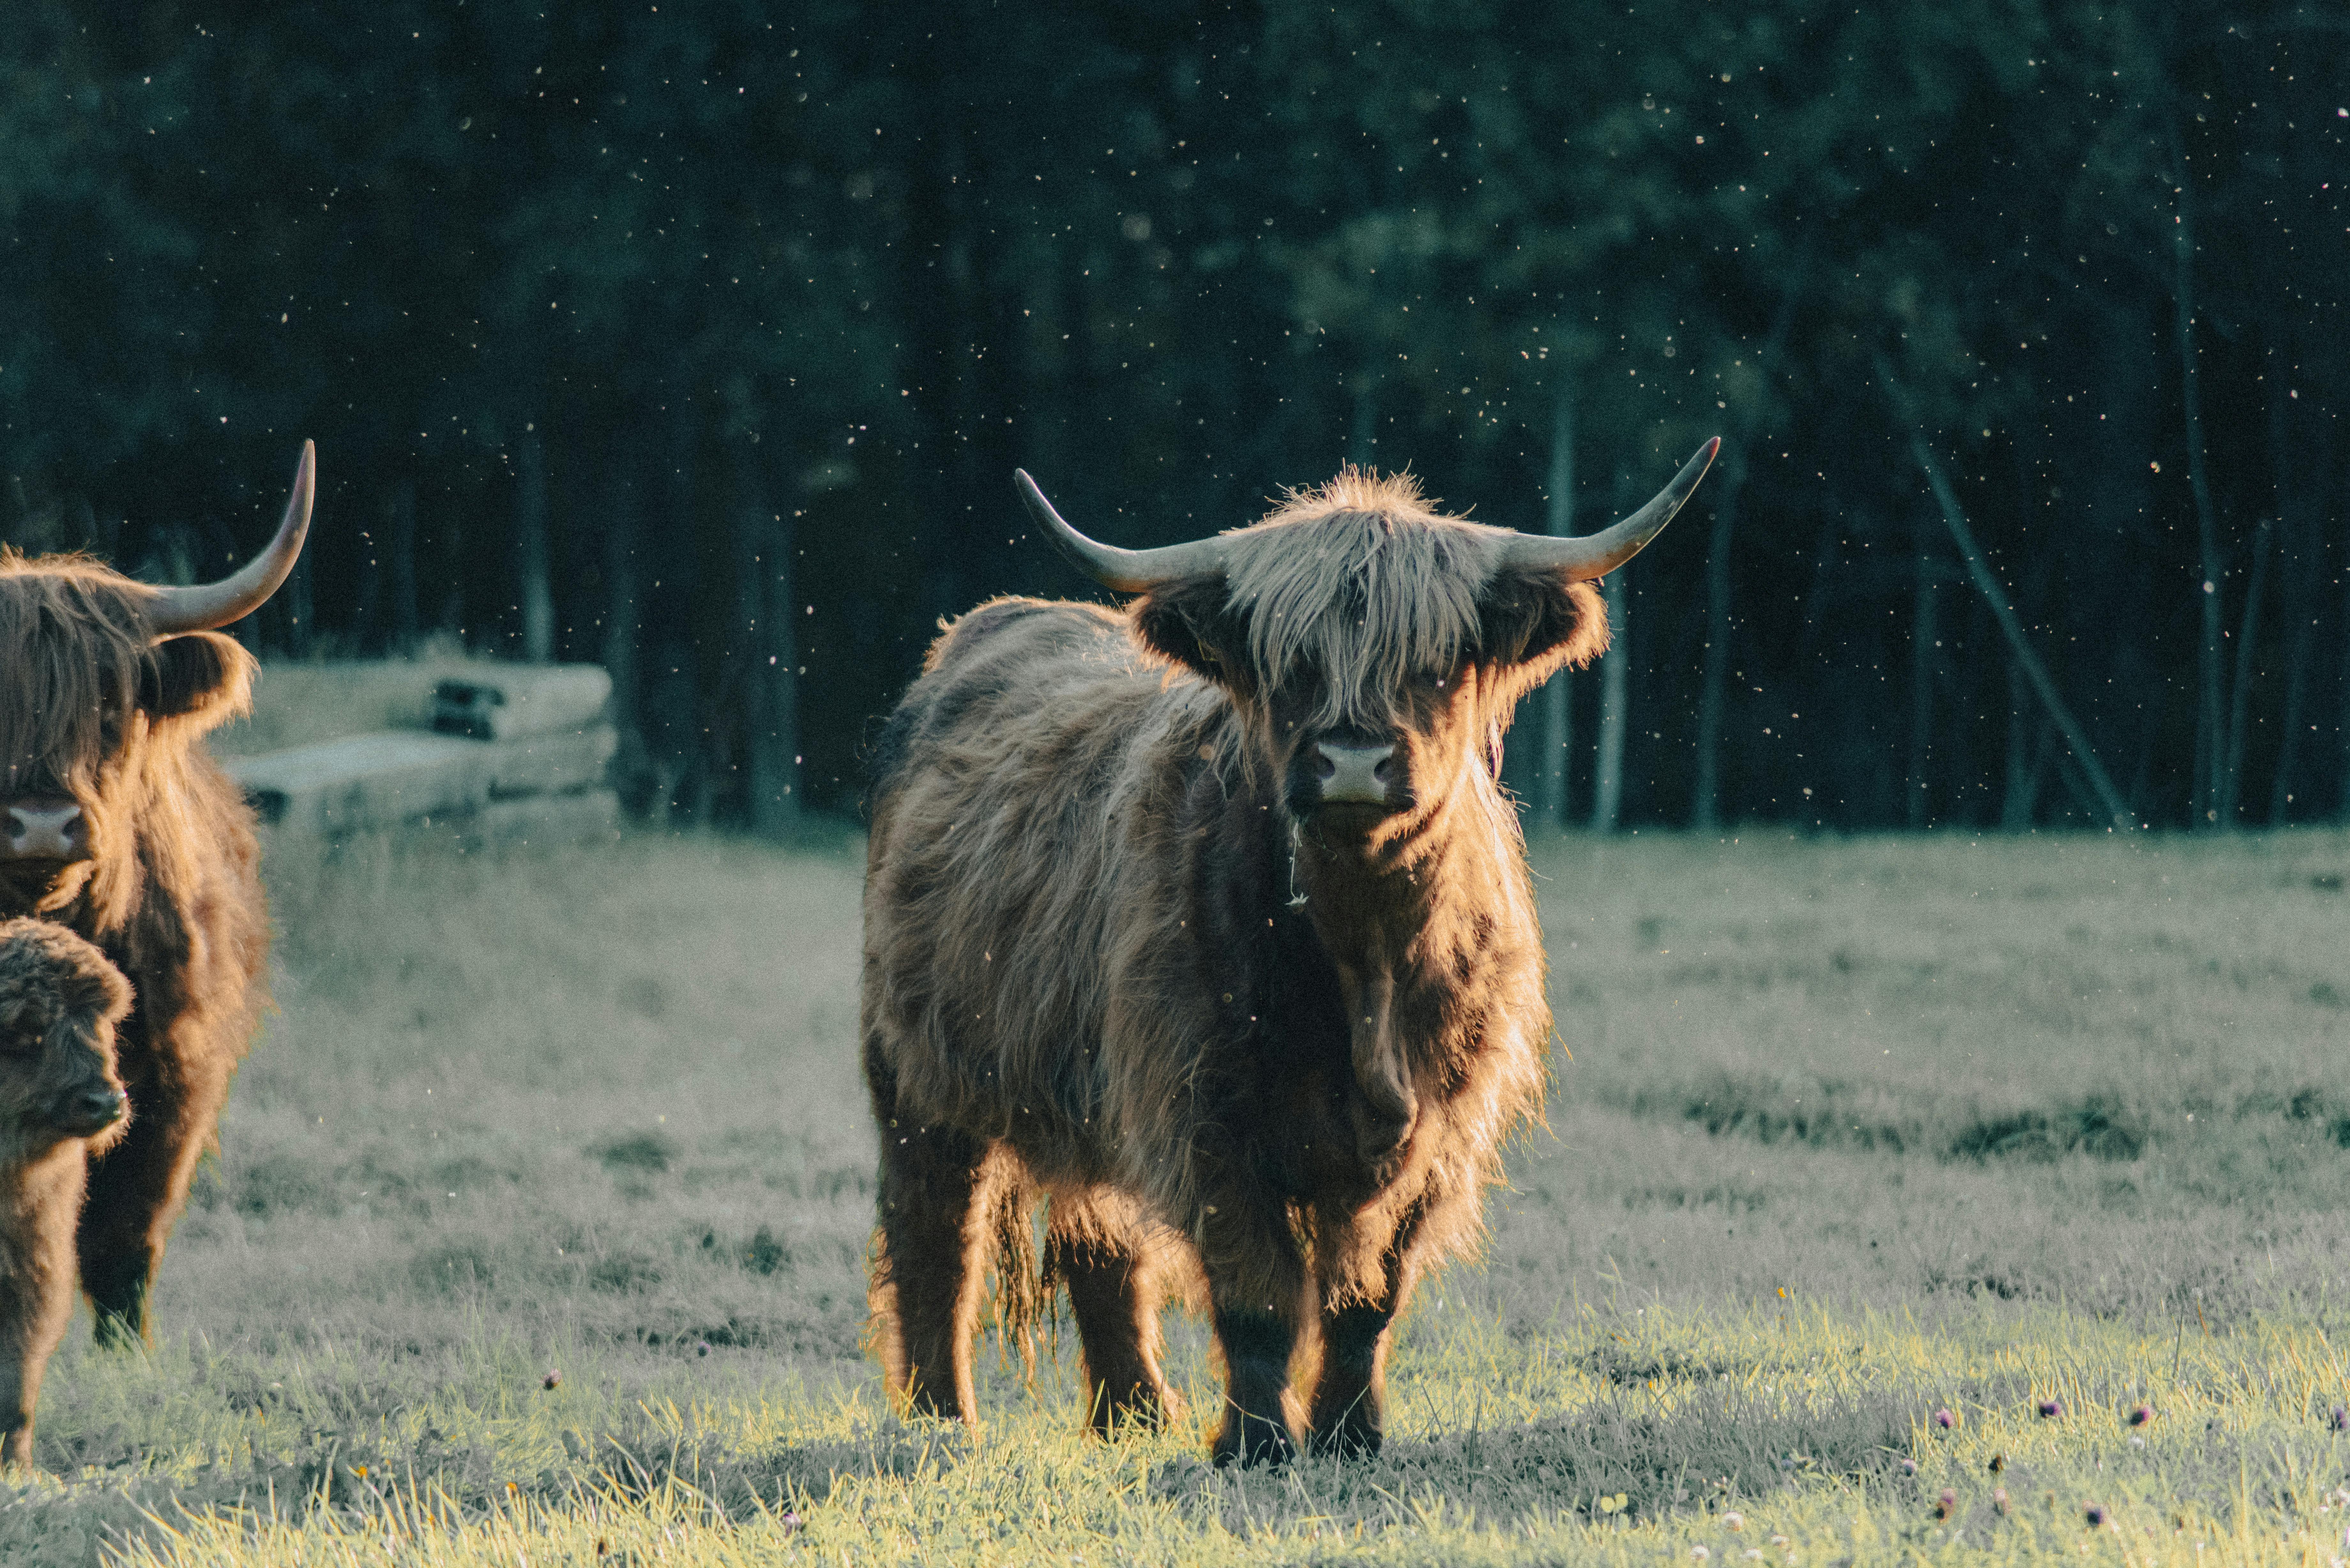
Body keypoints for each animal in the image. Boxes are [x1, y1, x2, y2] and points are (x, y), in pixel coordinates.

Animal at [865, 440, 1729, 1476]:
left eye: (1434, 663)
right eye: (1292, 665)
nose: (1352, 762)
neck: (1363, 963)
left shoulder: (1439, 1126)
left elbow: (1369, 1295)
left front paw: (1352, 1433)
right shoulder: (1205, 1112)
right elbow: (1258, 1293)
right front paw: (1256, 1442)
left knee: (1099, 1239)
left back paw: (1135, 1412)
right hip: (914, 1068)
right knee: (934, 1228)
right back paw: (937, 1416)